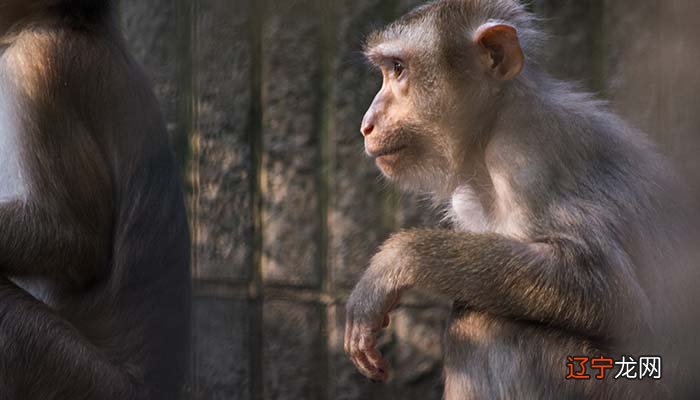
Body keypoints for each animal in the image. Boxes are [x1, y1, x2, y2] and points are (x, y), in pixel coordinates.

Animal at [344, 0, 700, 400]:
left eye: (398, 69)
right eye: (388, 70)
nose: (366, 123)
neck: (493, 125)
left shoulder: (527, 156)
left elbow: (610, 290)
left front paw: (396, 261)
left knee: (483, 323)